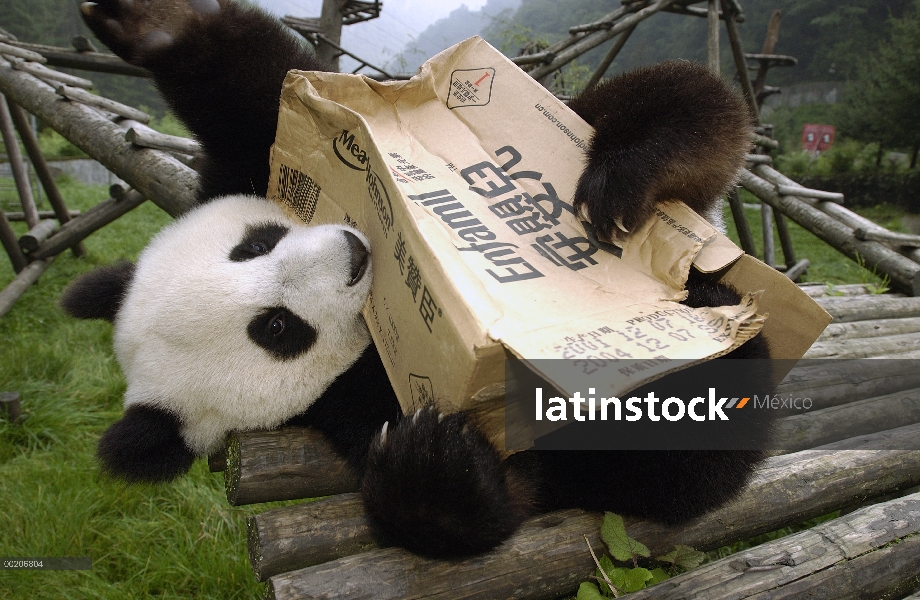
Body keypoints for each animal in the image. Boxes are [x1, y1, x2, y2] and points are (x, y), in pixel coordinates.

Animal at [61, 0, 772, 560]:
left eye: (255, 245)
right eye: (277, 329)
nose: (353, 251)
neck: (373, 342)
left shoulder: (251, 161)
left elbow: (254, 89)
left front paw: (150, 23)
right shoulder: (346, 406)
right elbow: (495, 496)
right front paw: (431, 459)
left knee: (674, 103)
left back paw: (630, 176)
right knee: (685, 456)